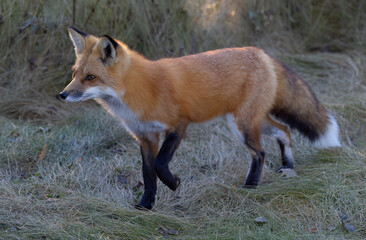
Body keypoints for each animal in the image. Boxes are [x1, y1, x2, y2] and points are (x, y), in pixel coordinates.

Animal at [59, 27, 340, 209]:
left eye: (91, 77)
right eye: (74, 74)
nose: (62, 94)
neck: (139, 91)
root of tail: (261, 53)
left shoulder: (178, 125)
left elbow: (160, 165)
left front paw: (174, 183)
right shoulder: (145, 136)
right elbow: (148, 174)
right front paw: (146, 205)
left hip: (242, 125)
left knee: (260, 152)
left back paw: (250, 186)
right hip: (250, 121)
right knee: (285, 130)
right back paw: (288, 166)